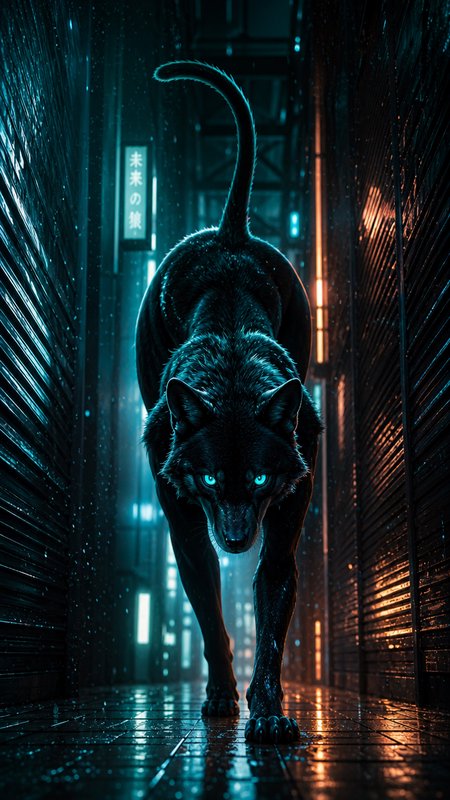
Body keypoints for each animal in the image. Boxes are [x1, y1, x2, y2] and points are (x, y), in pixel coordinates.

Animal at [135, 61, 322, 743]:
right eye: (213, 477)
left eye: (262, 478)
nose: (239, 539)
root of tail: (230, 232)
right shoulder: (185, 522)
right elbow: (210, 607)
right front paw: (222, 695)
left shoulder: (288, 511)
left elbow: (271, 613)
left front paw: (268, 713)